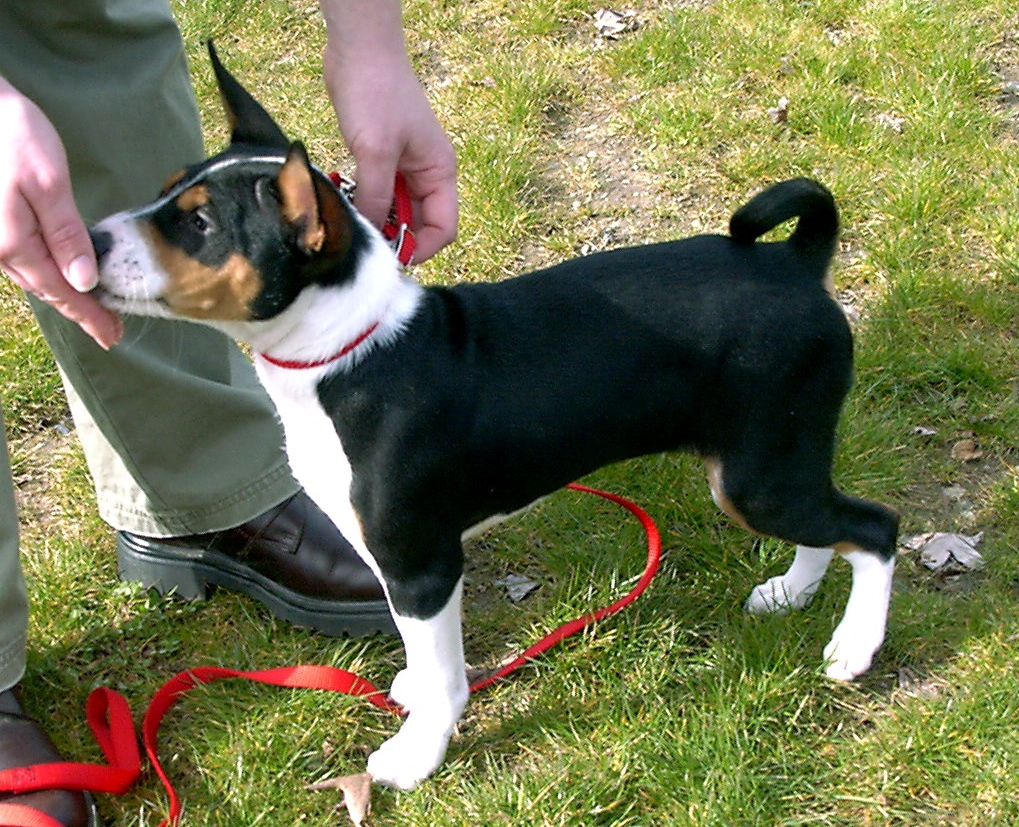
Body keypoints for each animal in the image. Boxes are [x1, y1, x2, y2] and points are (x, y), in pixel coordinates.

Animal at [89, 46, 900, 794]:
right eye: (164, 194)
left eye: (198, 223)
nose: (91, 239)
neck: (346, 352)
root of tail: (796, 262)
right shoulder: (392, 562)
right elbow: (423, 654)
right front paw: (415, 695)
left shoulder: (421, 561)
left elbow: (446, 673)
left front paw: (417, 751)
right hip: (775, 462)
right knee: (829, 527)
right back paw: (792, 591)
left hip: (756, 470)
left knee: (875, 528)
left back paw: (854, 644)